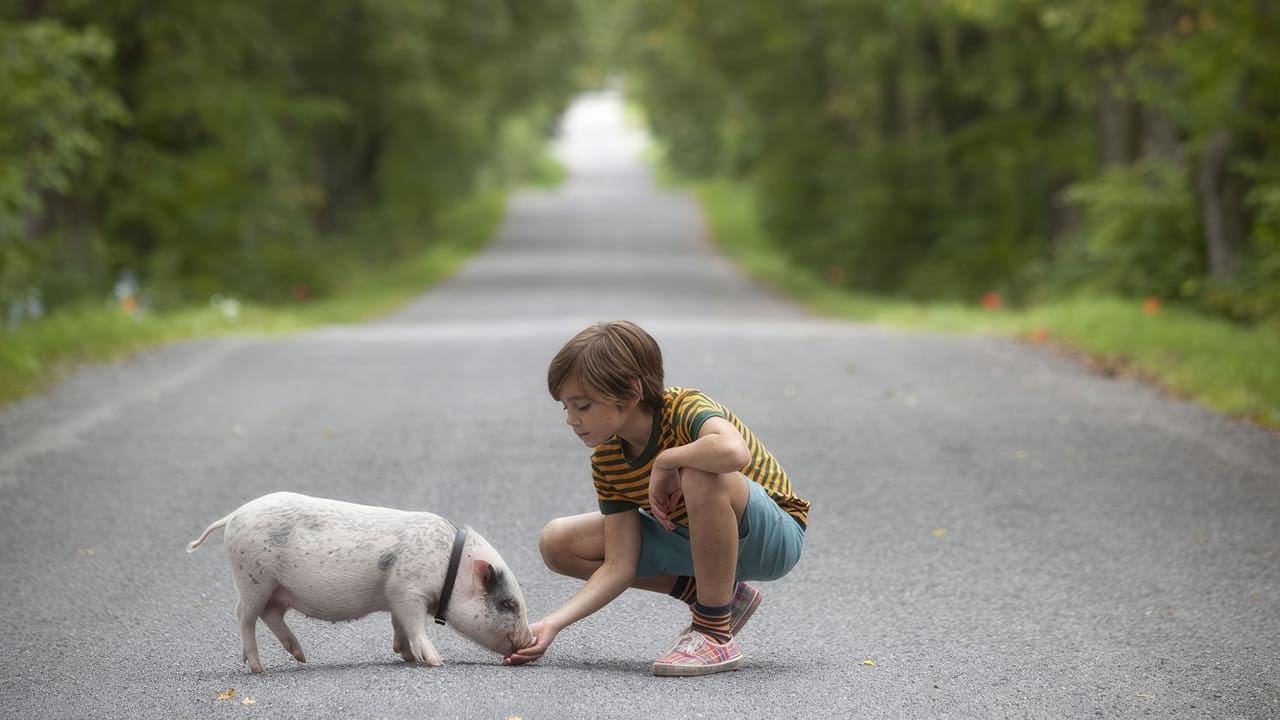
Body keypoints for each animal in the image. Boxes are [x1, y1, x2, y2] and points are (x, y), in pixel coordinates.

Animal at [186, 489, 532, 671]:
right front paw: (436, 662)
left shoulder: (394, 595)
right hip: (252, 577)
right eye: (507, 604)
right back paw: (257, 667)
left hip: (275, 588)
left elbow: (399, 625)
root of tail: (232, 516)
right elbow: (416, 626)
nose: (529, 640)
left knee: (270, 615)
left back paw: (301, 658)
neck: (450, 568)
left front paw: (406, 657)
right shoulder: (407, 588)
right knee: (243, 615)